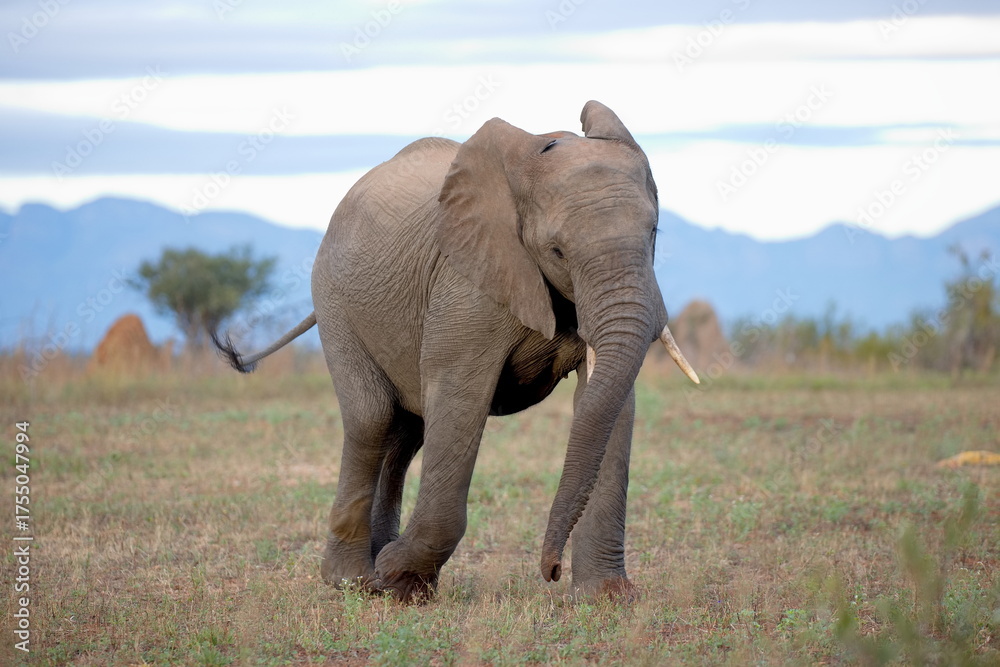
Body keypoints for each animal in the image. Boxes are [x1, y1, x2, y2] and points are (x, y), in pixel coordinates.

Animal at [214, 100, 700, 602]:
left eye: (654, 232)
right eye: (557, 251)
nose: (550, 571)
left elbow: (610, 404)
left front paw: (606, 599)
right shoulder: (466, 283)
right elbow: (460, 396)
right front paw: (398, 578)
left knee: (406, 429)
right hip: (333, 299)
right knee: (373, 418)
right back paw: (354, 581)